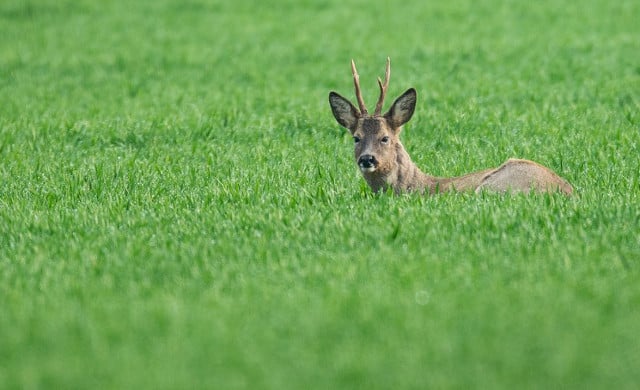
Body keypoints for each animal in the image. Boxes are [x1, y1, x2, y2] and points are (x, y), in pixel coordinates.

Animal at [328, 58, 572, 197]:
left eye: (385, 137)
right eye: (356, 137)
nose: (367, 159)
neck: (418, 187)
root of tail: (567, 191)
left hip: (494, 186)